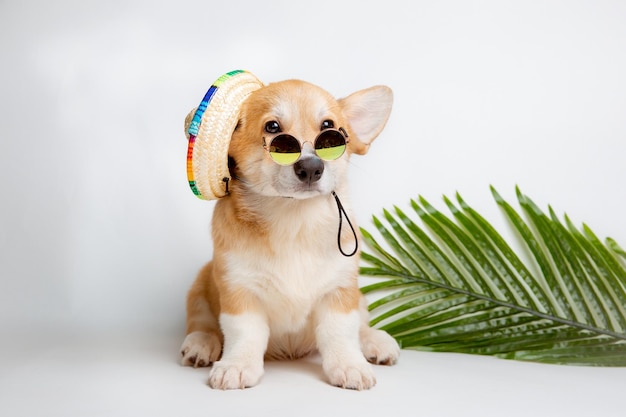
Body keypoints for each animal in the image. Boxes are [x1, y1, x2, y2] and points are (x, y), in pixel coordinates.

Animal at [179, 78, 400, 390]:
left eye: (329, 129)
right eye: (273, 128)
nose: (311, 167)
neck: (295, 220)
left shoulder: (340, 291)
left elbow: (340, 332)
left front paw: (349, 365)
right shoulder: (239, 291)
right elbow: (244, 333)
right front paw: (237, 365)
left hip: (360, 298)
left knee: (361, 324)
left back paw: (374, 341)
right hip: (199, 287)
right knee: (203, 323)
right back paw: (201, 343)